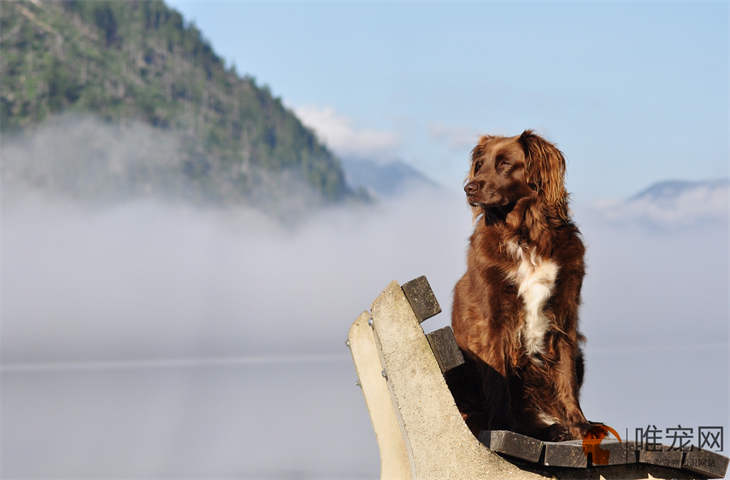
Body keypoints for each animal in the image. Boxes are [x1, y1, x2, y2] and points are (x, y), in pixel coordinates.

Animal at [450, 129, 592, 440]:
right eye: (480, 164)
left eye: (504, 164)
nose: (469, 188)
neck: (525, 234)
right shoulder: (493, 320)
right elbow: (498, 380)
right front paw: (504, 426)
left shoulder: (564, 312)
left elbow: (565, 374)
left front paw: (580, 424)